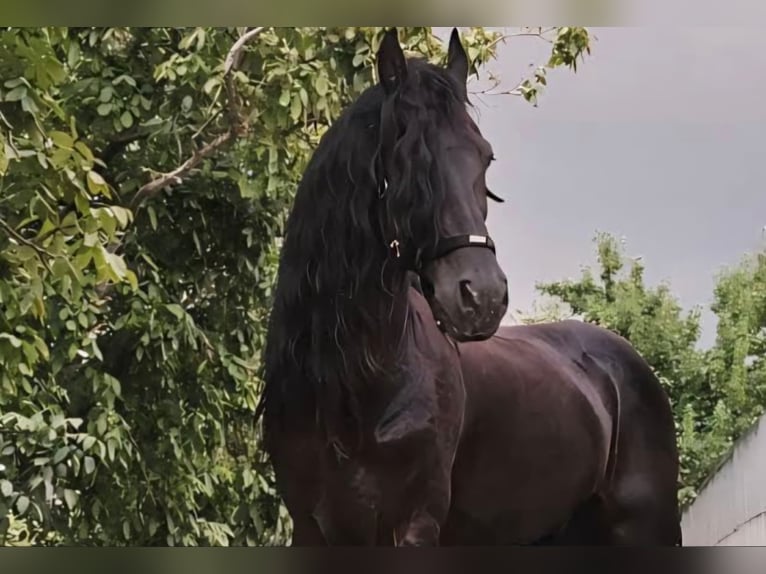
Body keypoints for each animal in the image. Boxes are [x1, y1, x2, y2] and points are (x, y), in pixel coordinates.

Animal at [258, 27, 682, 546]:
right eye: (405, 153)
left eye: (486, 156)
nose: (482, 297)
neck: (353, 391)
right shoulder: (312, 529)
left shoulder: (415, 524)